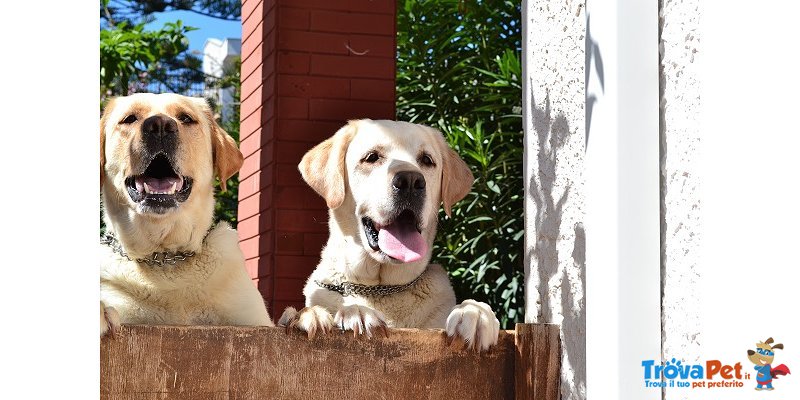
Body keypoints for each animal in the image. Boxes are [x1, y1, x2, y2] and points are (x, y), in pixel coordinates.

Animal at [278, 119, 496, 350]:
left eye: (427, 160)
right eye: (372, 157)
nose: (410, 180)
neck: (380, 288)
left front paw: (474, 312)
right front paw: (352, 312)